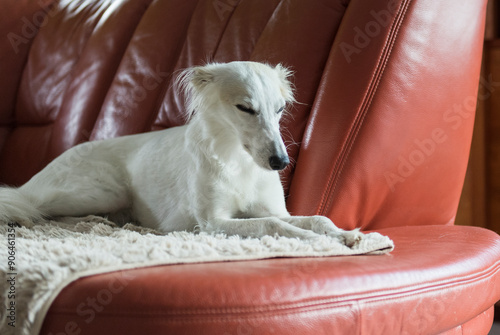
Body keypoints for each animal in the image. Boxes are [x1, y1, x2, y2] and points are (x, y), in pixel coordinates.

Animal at [0, 61, 362, 247]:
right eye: (245, 108)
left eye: (280, 108)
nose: (281, 162)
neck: (238, 162)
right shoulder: (213, 222)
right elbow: (273, 225)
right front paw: (314, 240)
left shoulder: (273, 209)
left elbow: (315, 218)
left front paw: (345, 234)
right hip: (100, 191)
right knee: (30, 204)